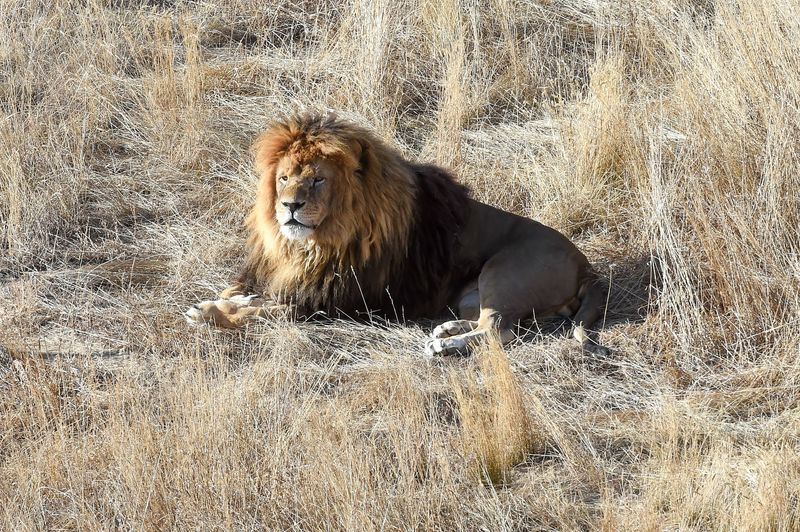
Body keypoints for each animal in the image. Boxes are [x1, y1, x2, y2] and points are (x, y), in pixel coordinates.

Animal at [185, 113, 609, 356]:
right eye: (284, 178)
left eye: (319, 180)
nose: (289, 206)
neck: (317, 244)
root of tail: (585, 264)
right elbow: (258, 299)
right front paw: (232, 299)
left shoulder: (333, 304)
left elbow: (264, 311)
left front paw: (210, 311)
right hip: (473, 297)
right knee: (494, 323)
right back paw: (448, 328)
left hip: (503, 273)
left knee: (498, 333)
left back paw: (444, 344)